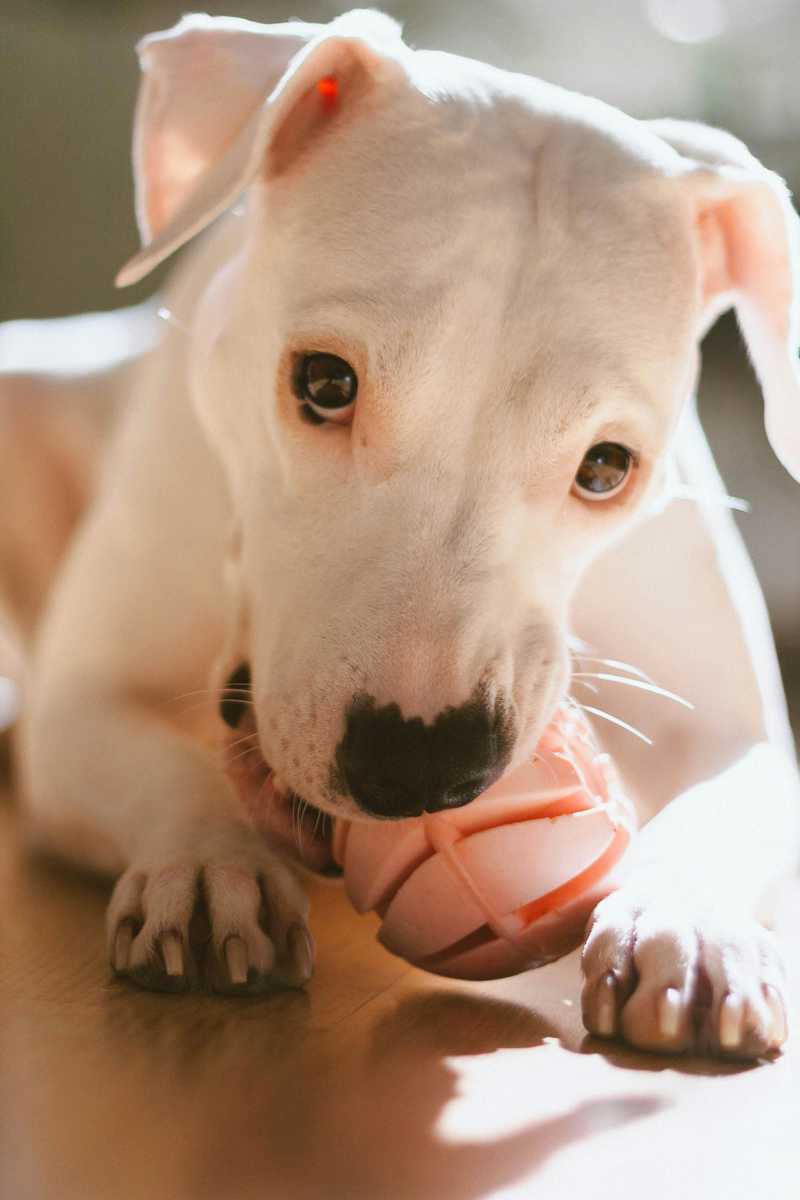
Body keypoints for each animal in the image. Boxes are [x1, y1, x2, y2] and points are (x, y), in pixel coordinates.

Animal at [1, 9, 800, 1060]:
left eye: (606, 468)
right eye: (324, 383)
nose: (422, 762)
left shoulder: (733, 732)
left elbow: (723, 804)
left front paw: (691, 924)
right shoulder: (84, 706)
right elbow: (163, 768)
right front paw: (211, 864)